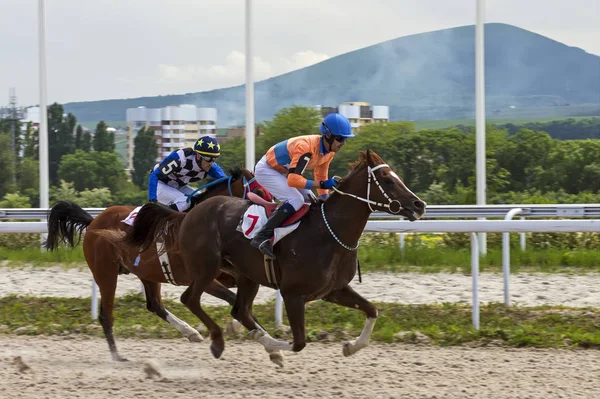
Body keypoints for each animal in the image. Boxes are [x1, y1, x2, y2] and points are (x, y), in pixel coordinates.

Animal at [47, 166, 270, 362]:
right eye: (259, 191)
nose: (272, 209)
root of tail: (93, 221)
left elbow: (241, 299)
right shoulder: (203, 278)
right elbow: (232, 299)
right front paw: (258, 334)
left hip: (146, 273)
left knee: (154, 304)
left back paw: (190, 332)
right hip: (105, 273)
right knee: (106, 315)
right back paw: (117, 356)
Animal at [125, 151, 426, 368]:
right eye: (387, 179)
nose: (419, 205)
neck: (329, 233)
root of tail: (186, 215)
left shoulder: (333, 290)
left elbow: (372, 310)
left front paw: (350, 346)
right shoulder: (293, 294)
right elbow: (298, 342)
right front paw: (272, 346)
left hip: (245, 276)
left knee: (239, 310)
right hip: (205, 269)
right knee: (190, 299)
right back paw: (217, 341)